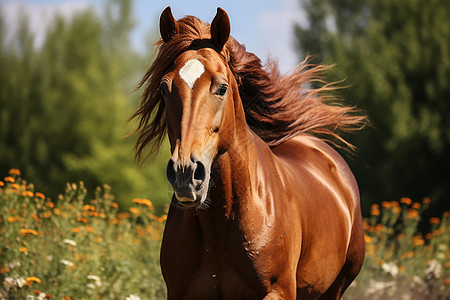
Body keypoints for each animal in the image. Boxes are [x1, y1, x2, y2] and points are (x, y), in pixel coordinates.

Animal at [130, 7, 366, 300]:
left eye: (221, 87)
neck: (220, 223)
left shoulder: (278, 292)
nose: (185, 174)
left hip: (336, 288)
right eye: (164, 88)